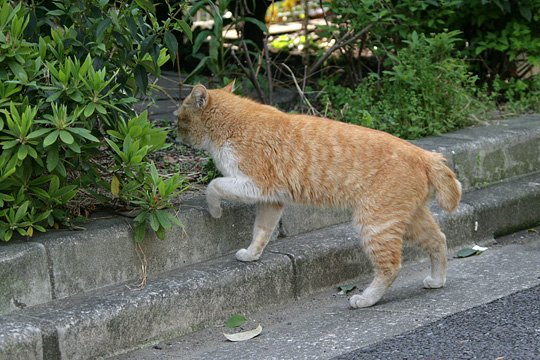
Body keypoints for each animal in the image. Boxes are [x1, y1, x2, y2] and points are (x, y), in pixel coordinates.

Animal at [175, 83, 462, 308]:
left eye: (179, 117)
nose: (172, 129)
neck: (232, 122)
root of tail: (423, 154)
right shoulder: (271, 199)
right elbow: (261, 231)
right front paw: (252, 254)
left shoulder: (254, 185)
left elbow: (214, 186)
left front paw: (215, 211)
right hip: (408, 219)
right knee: (439, 240)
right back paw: (437, 280)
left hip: (375, 224)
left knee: (390, 267)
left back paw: (367, 298)